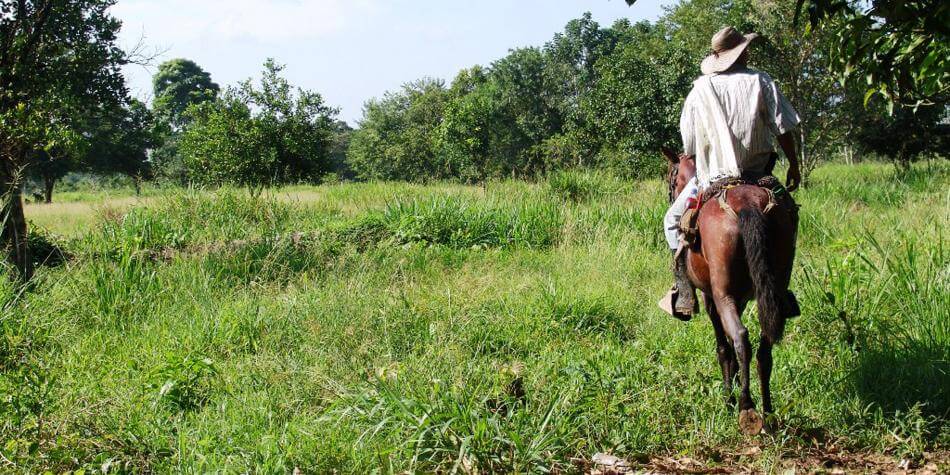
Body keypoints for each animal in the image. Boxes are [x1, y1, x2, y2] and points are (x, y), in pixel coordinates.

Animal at [664, 149, 800, 436]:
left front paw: (728, 398)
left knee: (739, 337)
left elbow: (723, 348)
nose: (671, 194)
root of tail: (748, 204)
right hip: (774, 283)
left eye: (671, 177)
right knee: (764, 349)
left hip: (722, 293)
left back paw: (746, 406)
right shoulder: (741, 298)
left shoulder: (711, 298)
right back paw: (767, 410)